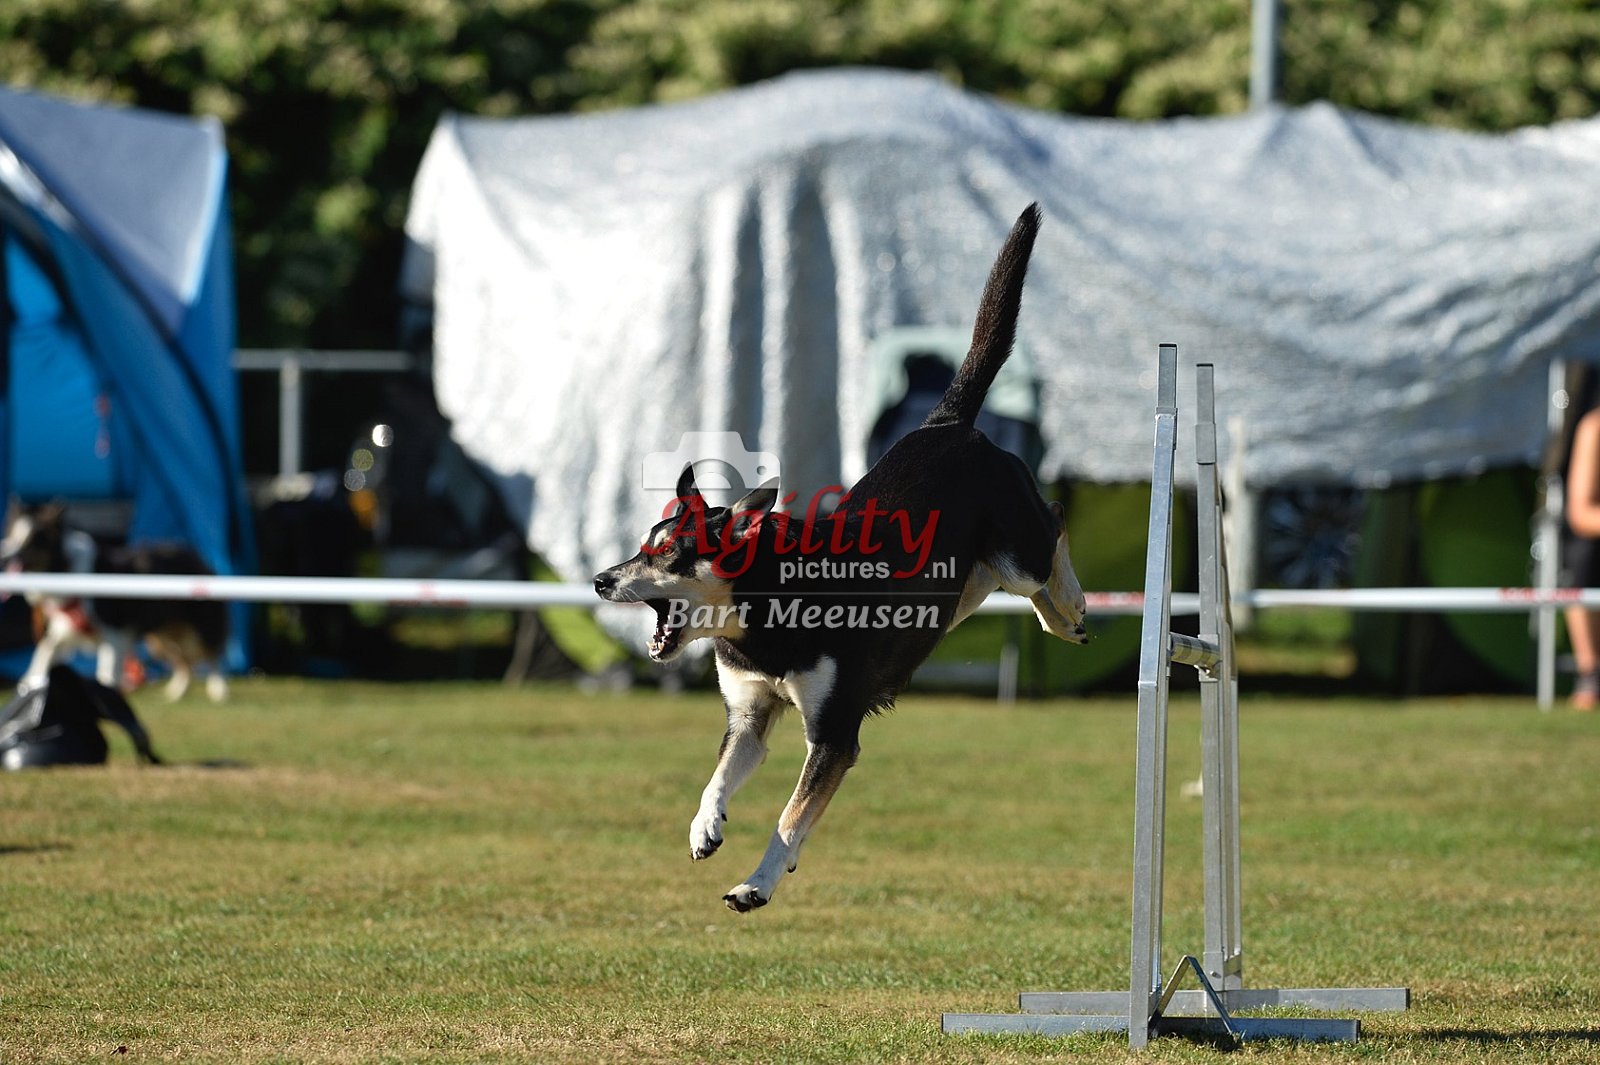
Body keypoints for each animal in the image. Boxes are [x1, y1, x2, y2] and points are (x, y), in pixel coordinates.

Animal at [1, 503, 230, 701]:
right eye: (12, 536)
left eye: (31, 541)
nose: (5, 555)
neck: (66, 569)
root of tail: (199, 557)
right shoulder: (63, 630)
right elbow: (41, 656)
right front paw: (29, 687)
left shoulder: (113, 634)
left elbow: (106, 674)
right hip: (161, 638)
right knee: (184, 663)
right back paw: (175, 692)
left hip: (200, 628)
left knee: (212, 655)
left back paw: (218, 690)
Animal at [593, 203, 1087, 912]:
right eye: (642, 545)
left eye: (668, 555)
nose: (600, 580)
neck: (765, 615)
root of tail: (947, 424)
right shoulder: (750, 715)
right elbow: (717, 778)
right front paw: (704, 828)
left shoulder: (833, 734)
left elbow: (790, 817)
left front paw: (756, 883)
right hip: (966, 586)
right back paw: (1055, 615)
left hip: (1019, 547)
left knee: (1056, 524)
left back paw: (1070, 608)